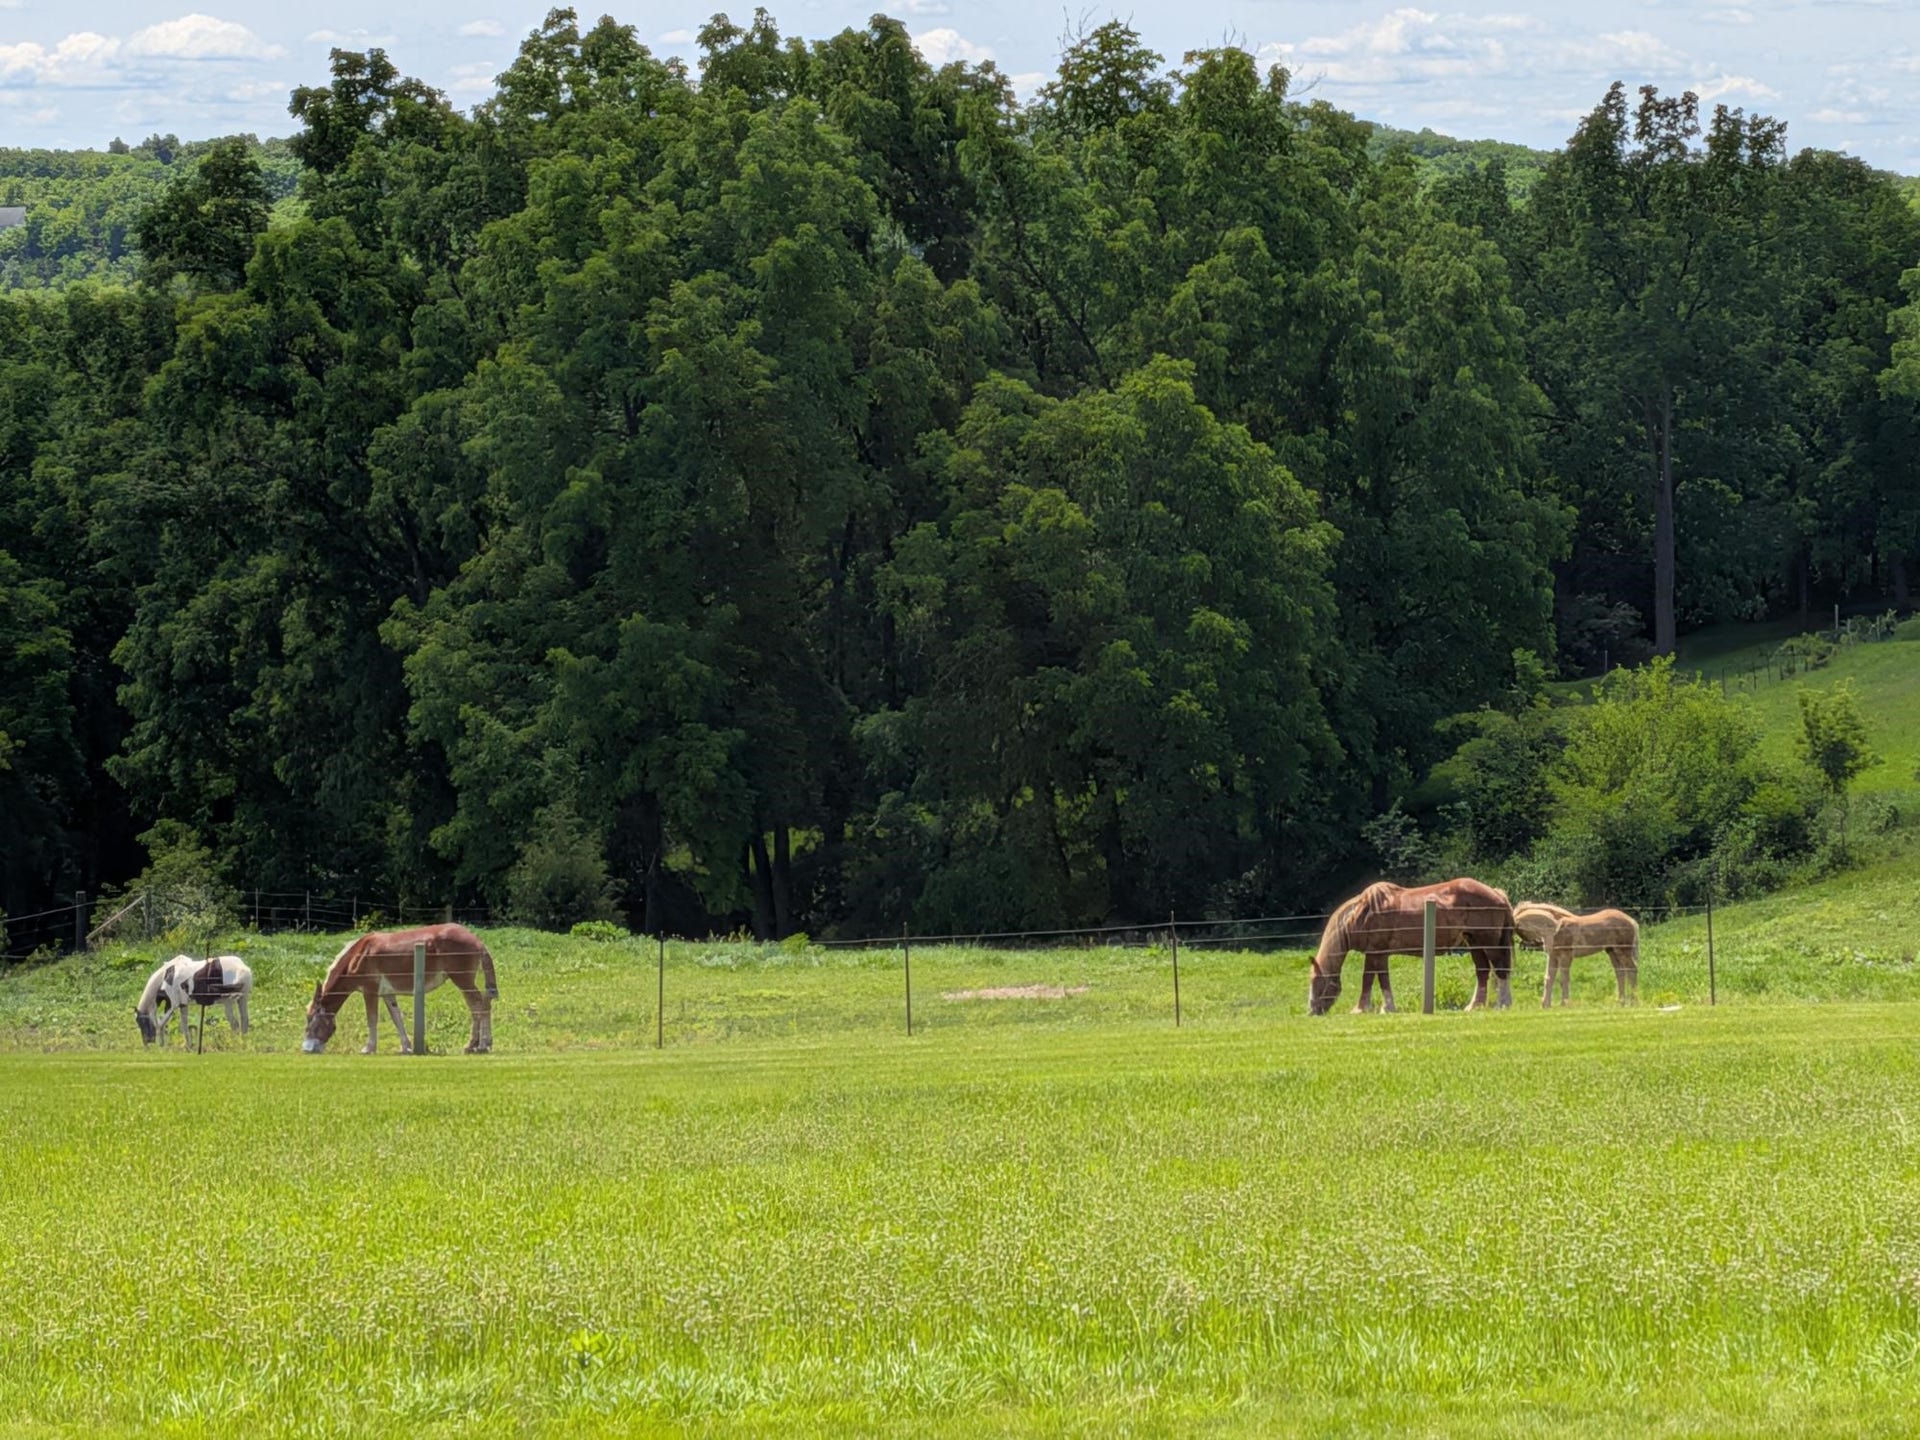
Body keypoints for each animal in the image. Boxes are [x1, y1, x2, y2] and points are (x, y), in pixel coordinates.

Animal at [302, 923, 499, 1054]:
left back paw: (481, 1044)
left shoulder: (370, 990)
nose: (306, 1049)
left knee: (480, 1005)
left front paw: (368, 1048)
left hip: (462, 979)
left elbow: (372, 1019)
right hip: (463, 981)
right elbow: (397, 1018)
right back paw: (475, 1045)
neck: (358, 955)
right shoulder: (388, 994)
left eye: (311, 1020)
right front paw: (406, 1047)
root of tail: (477, 940)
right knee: (476, 1007)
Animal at [1308, 879, 1516, 1015]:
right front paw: (1388, 1007)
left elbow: (1367, 978)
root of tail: (1496, 893)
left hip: (1488, 942)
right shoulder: (1381, 954)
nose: (1311, 1011)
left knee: (1500, 969)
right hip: (1474, 942)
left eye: (1317, 983)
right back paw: (1474, 1006)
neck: (1364, 912)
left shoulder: (1375, 951)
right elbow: (1382, 978)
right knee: (1483, 971)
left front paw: (1360, 1009)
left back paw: (1502, 1004)